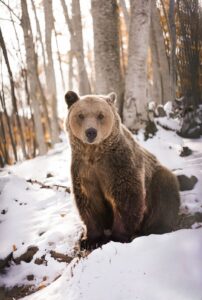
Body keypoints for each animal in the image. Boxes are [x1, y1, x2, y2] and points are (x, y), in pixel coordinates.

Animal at [65, 90, 180, 247]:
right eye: (81, 115)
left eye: (100, 115)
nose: (91, 132)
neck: (94, 153)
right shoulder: (83, 170)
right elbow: (89, 201)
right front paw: (90, 240)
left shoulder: (118, 165)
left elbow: (126, 197)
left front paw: (118, 236)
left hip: (156, 179)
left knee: (165, 193)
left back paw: (157, 227)